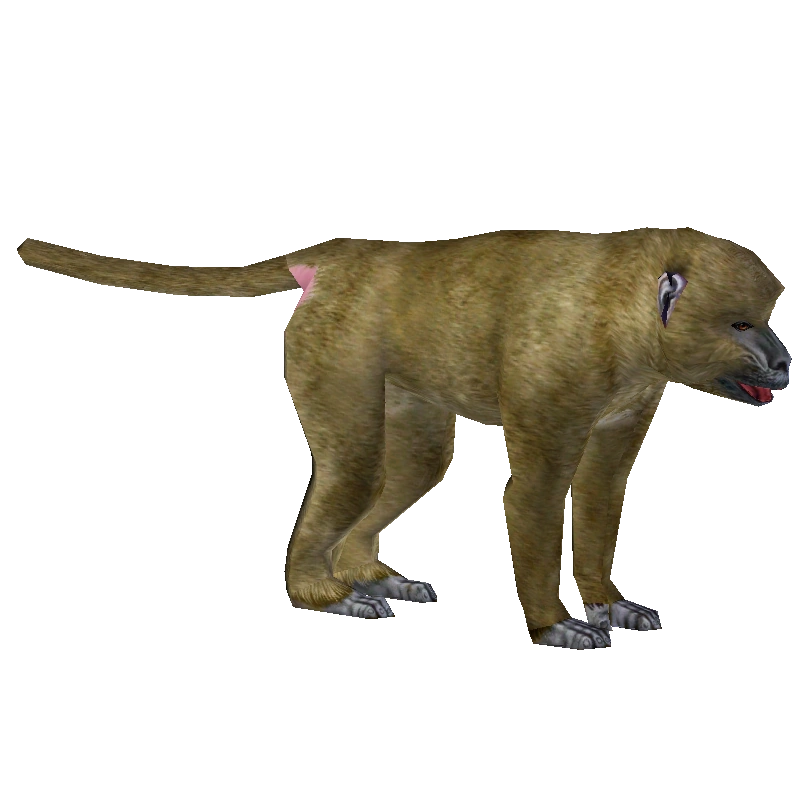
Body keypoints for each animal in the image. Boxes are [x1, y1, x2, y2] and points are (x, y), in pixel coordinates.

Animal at [16, 228, 791, 648]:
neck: (627, 308)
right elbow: (539, 494)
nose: (784, 362)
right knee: (356, 465)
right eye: (741, 325)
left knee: (415, 462)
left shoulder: (631, 396)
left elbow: (599, 492)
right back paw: (320, 592)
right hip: (333, 344)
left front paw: (606, 601)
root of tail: (338, 261)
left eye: (768, 320)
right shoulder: (560, 370)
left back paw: (365, 569)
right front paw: (553, 624)